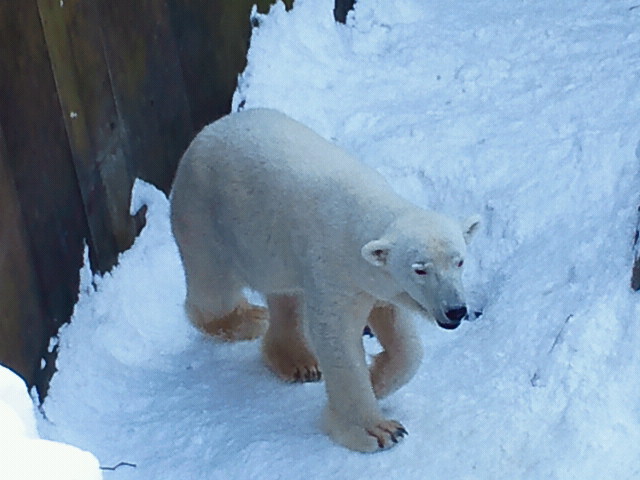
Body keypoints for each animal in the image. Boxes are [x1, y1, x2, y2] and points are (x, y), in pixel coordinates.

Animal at [170, 108, 480, 450]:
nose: (456, 310)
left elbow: (403, 340)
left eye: (459, 260)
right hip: (204, 218)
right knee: (214, 292)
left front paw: (377, 381)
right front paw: (378, 430)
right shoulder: (333, 268)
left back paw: (298, 361)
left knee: (285, 294)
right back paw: (251, 318)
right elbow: (338, 339)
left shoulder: (372, 283)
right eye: (420, 269)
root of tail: (206, 132)